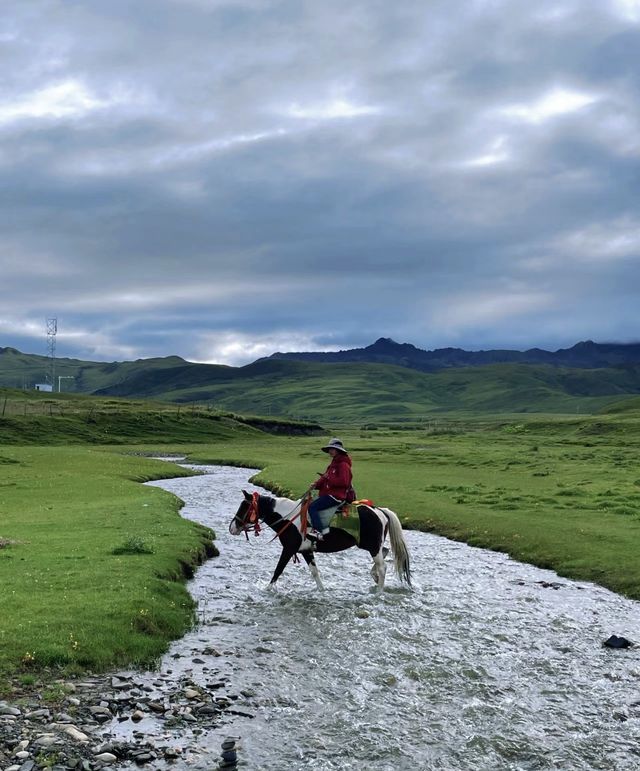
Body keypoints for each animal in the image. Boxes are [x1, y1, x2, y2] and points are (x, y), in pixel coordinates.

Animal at [228, 492, 412, 596]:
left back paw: (379, 592)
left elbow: (278, 570)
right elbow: (315, 573)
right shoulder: (306, 551)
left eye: (245, 506)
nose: (232, 527)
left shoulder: (289, 549)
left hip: (373, 546)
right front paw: (322, 591)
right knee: (385, 553)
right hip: (373, 546)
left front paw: (267, 590)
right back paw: (374, 578)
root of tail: (380, 511)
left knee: (382, 567)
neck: (290, 519)